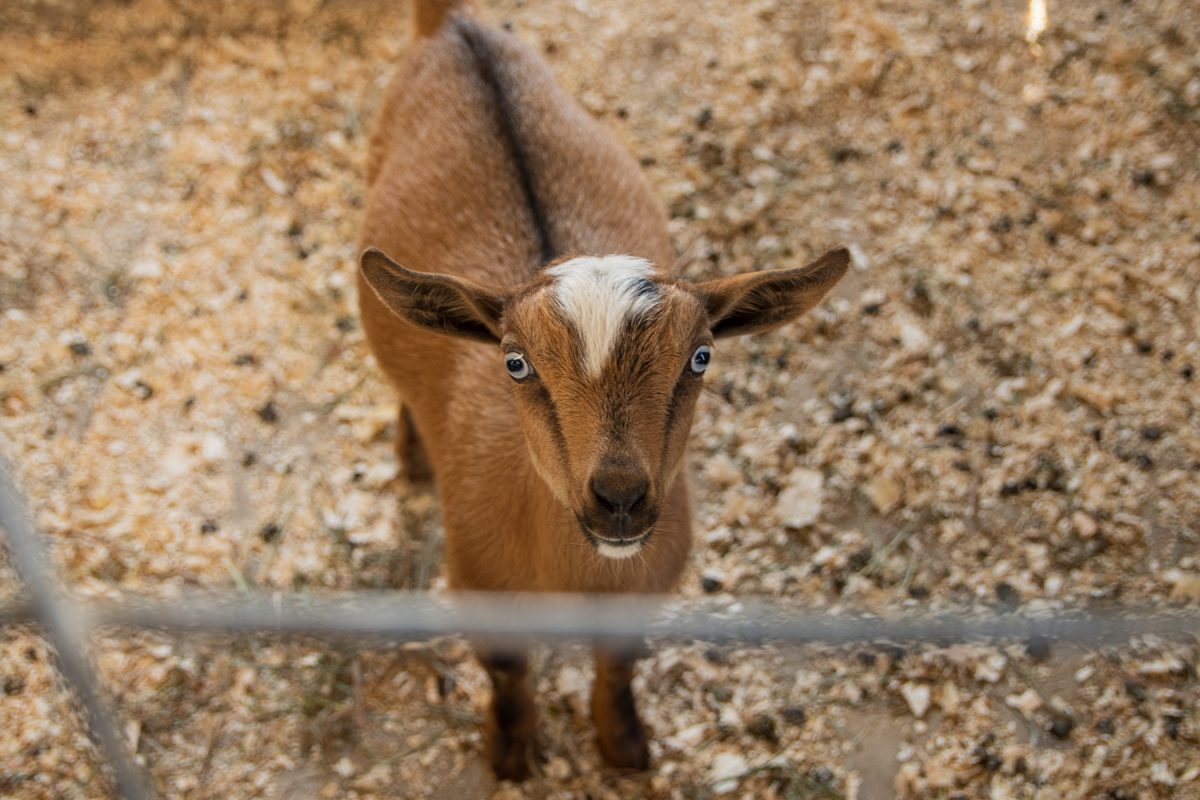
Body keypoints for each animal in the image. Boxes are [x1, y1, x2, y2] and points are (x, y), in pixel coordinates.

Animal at [352, 0, 844, 777]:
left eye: (701, 356)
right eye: (515, 363)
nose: (619, 498)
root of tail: (451, 23)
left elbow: (617, 667)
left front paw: (624, 746)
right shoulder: (478, 585)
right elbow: (506, 671)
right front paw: (513, 753)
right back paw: (411, 456)